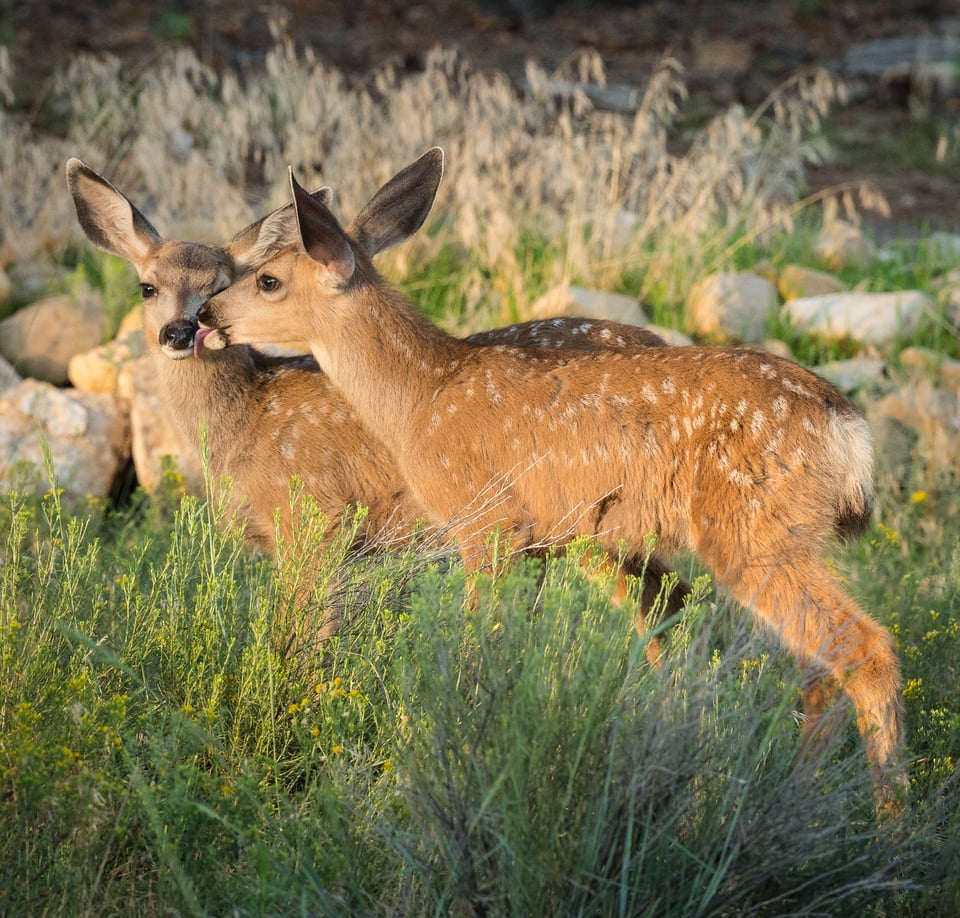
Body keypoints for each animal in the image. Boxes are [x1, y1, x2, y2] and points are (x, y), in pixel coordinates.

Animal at [65, 158, 684, 648]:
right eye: (146, 287)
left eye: (220, 282)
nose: (179, 331)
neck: (246, 423)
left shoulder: (314, 517)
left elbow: (307, 636)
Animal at [197, 147, 908, 808]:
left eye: (267, 279)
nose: (203, 317)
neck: (421, 396)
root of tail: (850, 429)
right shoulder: (536, 541)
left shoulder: (488, 521)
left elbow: (480, 649)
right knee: (808, 662)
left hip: (753, 530)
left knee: (862, 648)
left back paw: (884, 825)